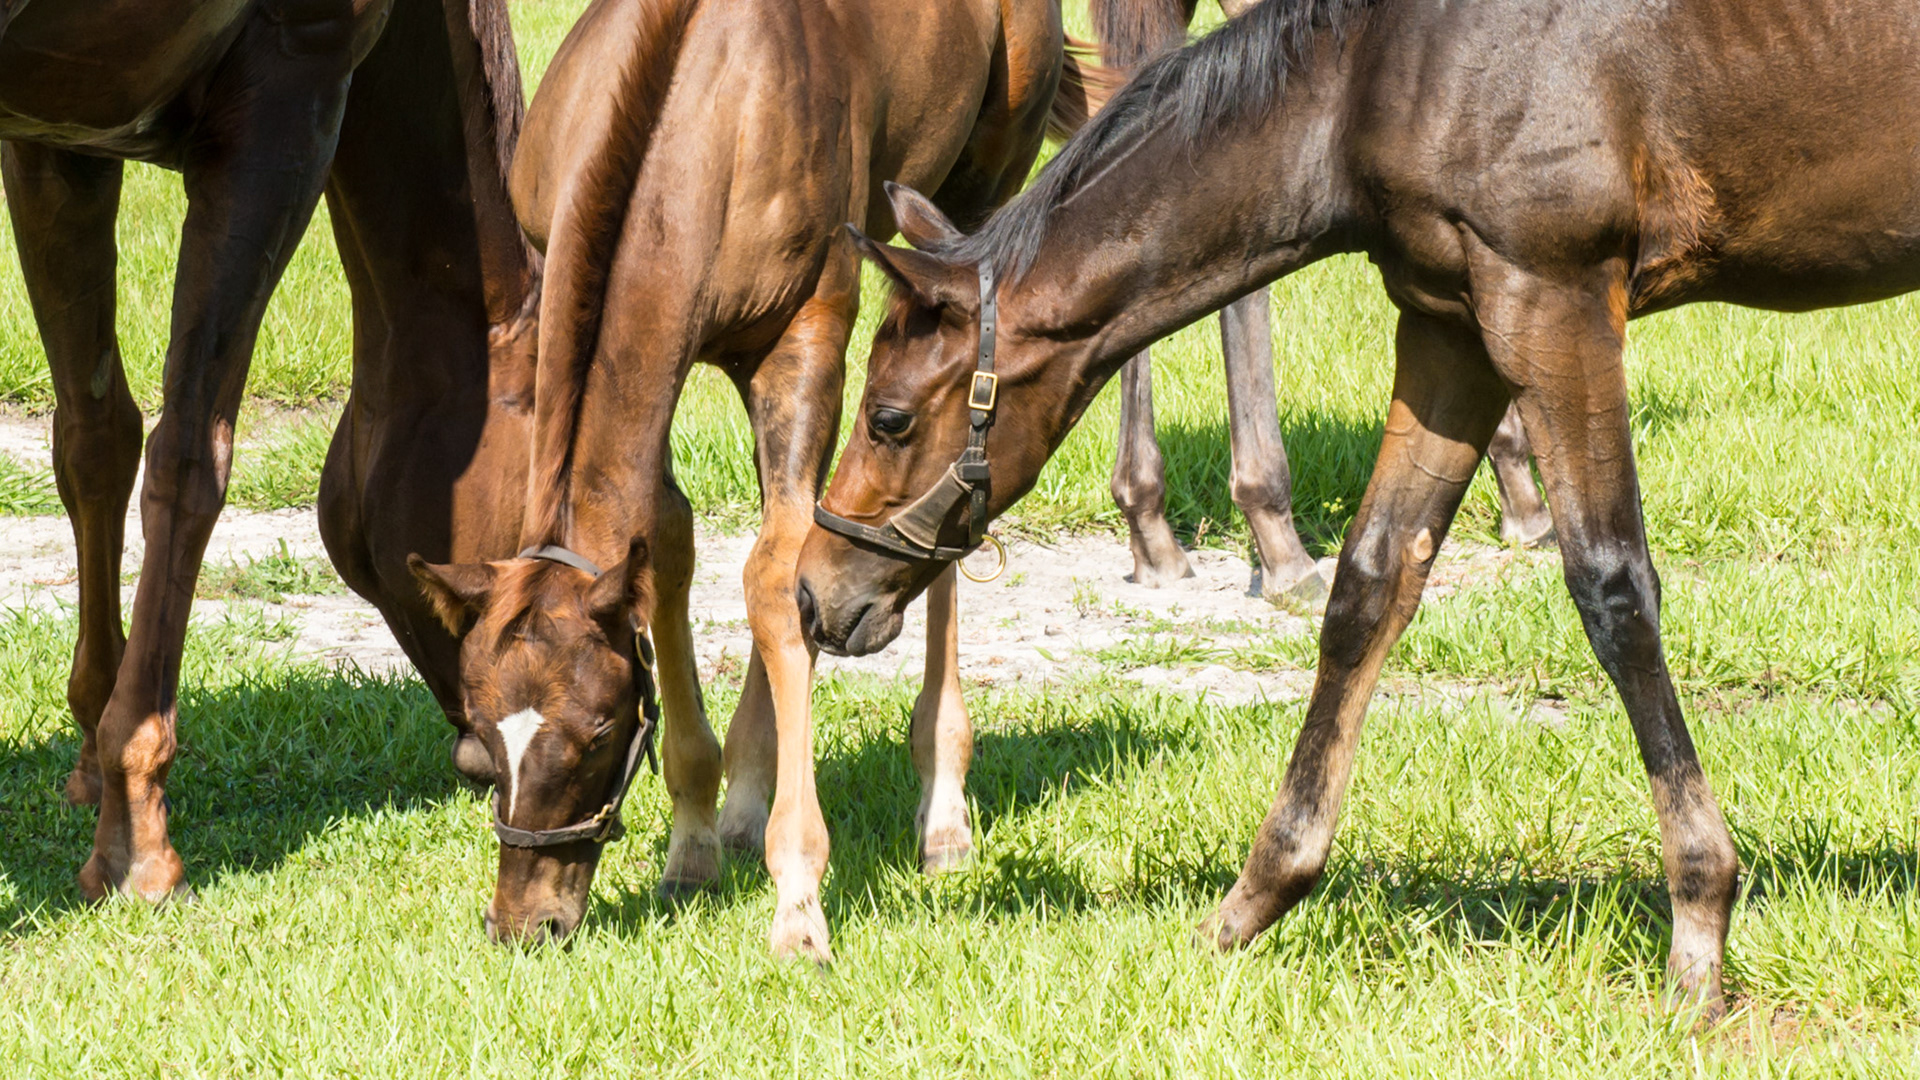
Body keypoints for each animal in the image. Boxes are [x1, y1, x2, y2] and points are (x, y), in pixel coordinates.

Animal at [1, 0, 533, 902]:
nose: (498, 757)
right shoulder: (289, 101)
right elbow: (189, 460)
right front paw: (137, 840)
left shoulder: (58, 146)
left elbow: (94, 439)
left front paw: (94, 761)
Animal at [407, 0, 1108, 954]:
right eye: (479, 737)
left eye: (599, 730)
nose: (527, 920)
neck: (696, 112)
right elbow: (672, 541)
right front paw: (697, 836)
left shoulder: (808, 331)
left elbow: (781, 574)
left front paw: (798, 896)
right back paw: (745, 798)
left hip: (974, 202)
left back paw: (942, 812)